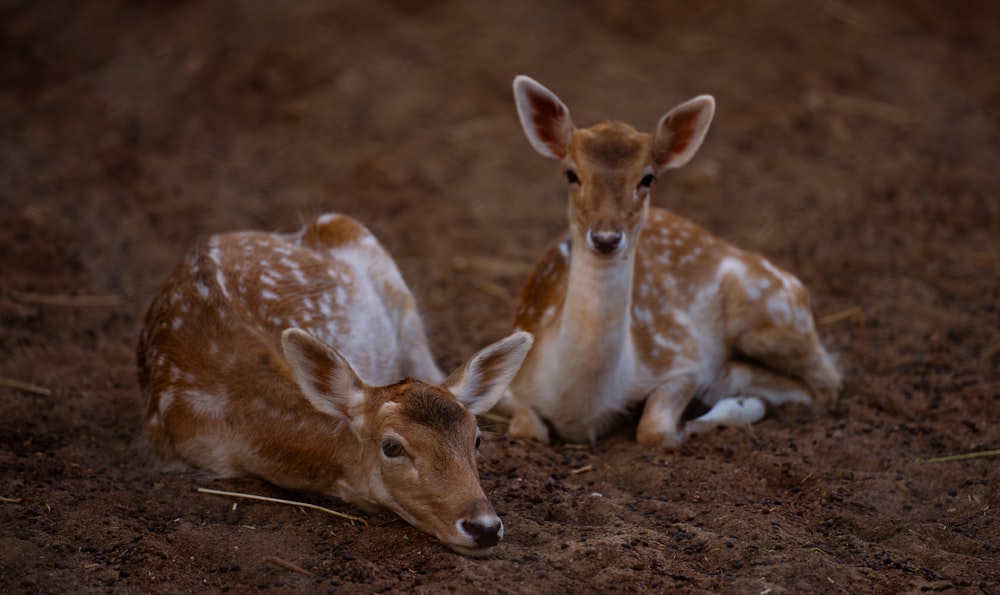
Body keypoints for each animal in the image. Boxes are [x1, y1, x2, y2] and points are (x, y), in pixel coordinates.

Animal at [500, 75, 844, 448]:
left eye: (647, 178)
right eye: (570, 173)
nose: (606, 237)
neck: (579, 403)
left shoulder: (679, 358)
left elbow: (655, 429)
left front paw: (730, 408)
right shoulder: (512, 379)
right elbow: (528, 429)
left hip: (773, 310)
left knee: (827, 383)